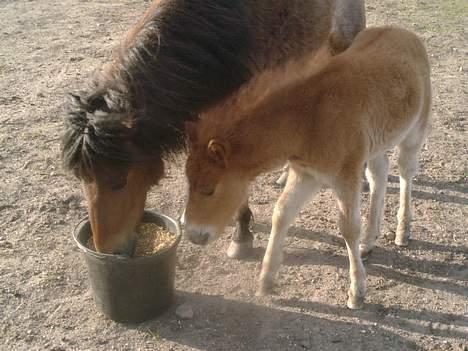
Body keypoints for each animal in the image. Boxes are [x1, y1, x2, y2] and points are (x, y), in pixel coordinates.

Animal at [184, 26, 432, 310]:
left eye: (209, 189)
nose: (191, 234)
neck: (308, 118)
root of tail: (406, 34)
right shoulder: (306, 174)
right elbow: (281, 213)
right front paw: (266, 279)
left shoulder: (345, 175)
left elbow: (349, 227)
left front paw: (357, 292)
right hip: (376, 143)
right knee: (379, 175)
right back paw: (369, 242)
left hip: (415, 130)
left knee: (405, 172)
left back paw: (403, 231)